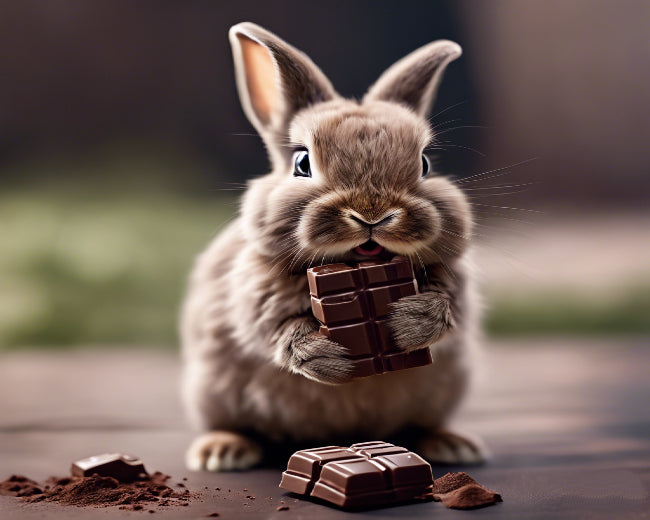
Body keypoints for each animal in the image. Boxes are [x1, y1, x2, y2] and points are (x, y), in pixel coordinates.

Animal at [181, 21, 485, 472]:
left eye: (426, 164)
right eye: (302, 164)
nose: (372, 213)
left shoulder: (454, 283)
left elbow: (450, 308)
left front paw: (409, 322)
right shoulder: (252, 293)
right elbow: (272, 329)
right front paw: (325, 356)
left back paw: (454, 445)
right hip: (212, 390)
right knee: (231, 424)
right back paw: (221, 451)